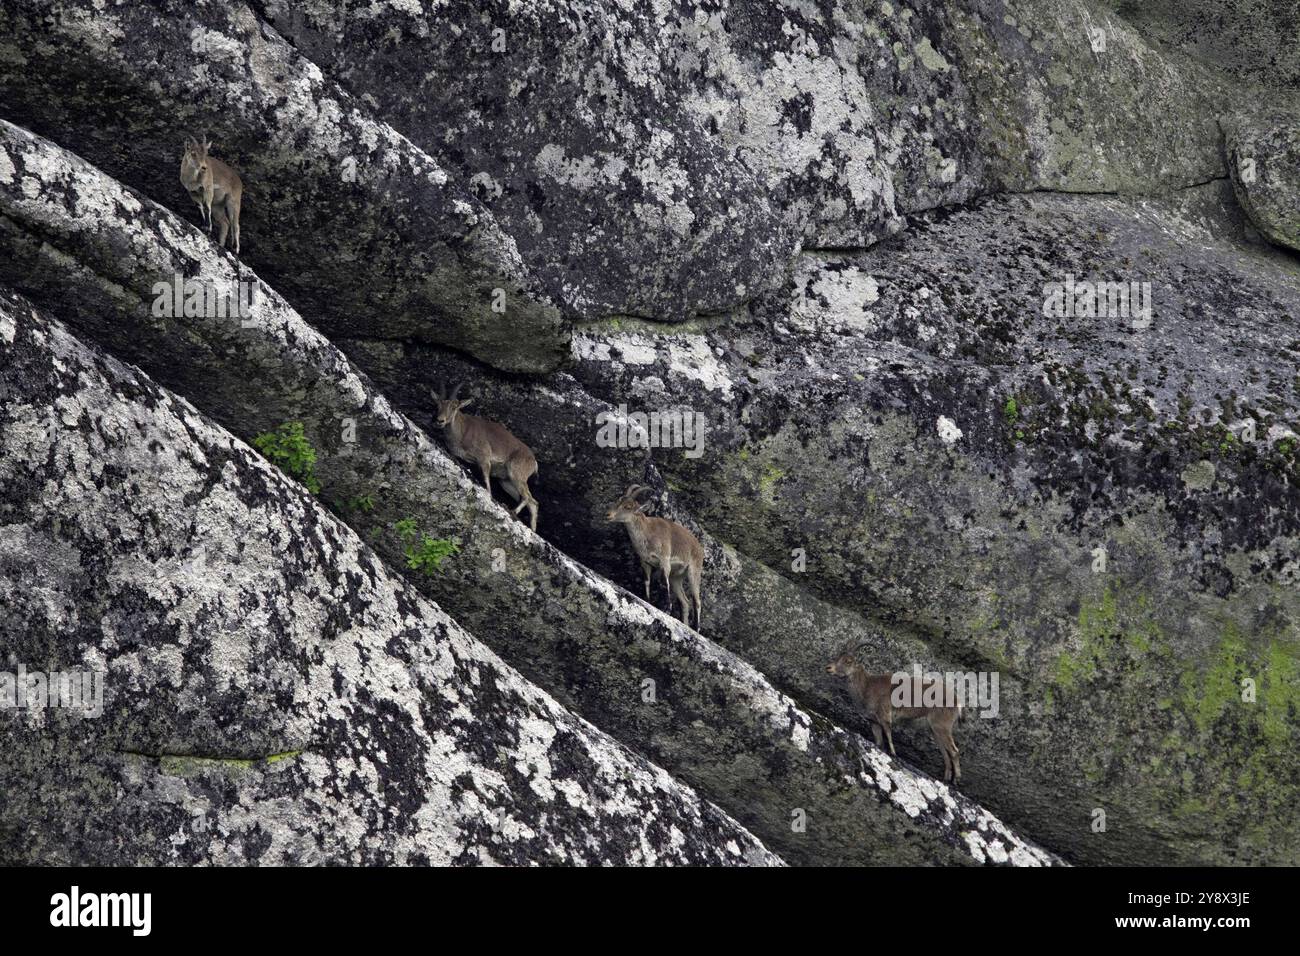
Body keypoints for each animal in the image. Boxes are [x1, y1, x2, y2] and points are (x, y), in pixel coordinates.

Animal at [436, 382, 538, 530]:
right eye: (437, 404)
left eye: (454, 406)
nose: (440, 421)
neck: (462, 432)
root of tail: (533, 462)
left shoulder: (484, 457)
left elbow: (486, 480)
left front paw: (489, 497)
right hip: (506, 482)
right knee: (533, 503)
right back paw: (532, 529)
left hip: (517, 474)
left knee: (528, 497)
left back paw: (514, 512)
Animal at [605, 486, 707, 634]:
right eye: (618, 500)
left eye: (628, 506)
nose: (608, 515)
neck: (648, 532)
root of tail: (699, 548)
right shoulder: (645, 562)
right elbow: (647, 581)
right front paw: (647, 600)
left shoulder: (664, 561)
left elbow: (664, 583)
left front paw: (667, 610)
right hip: (677, 577)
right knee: (685, 601)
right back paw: (685, 624)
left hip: (694, 571)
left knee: (697, 601)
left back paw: (696, 628)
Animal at [826, 655, 961, 780]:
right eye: (838, 656)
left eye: (848, 661)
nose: (828, 668)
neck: (867, 687)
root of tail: (957, 702)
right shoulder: (873, 721)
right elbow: (879, 741)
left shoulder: (884, 714)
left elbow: (888, 732)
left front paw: (893, 753)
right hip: (934, 730)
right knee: (945, 752)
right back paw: (946, 779)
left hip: (942, 725)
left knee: (954, 751)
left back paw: (956, 780)